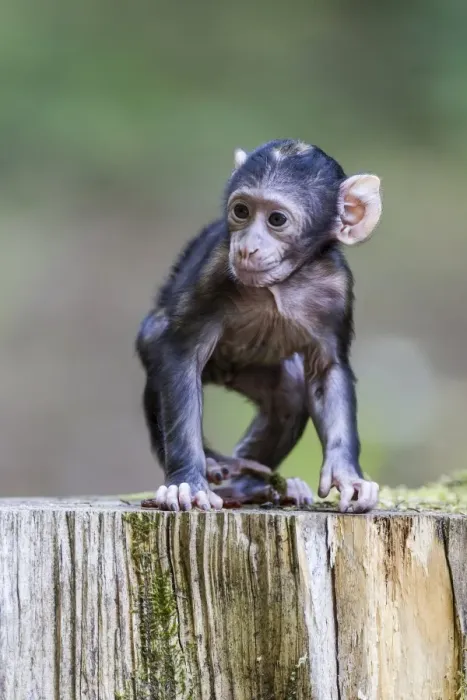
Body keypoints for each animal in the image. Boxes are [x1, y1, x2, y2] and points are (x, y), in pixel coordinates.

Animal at [136, 139, 382, 513]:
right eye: (242, 211)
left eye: (276, 219)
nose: (247, 248)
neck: (281, 283)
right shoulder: (213, 271)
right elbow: (179, 353)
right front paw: (186, 484)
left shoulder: (337, 289)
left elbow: (328, 372)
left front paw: (348, 476)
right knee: (156, 339)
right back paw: (215, 467)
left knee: (290, 393)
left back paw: (251, 486)